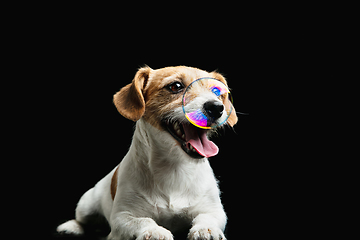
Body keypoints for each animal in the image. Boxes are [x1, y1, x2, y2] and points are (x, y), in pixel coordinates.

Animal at [57, 65, 236, 240]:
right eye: (175, 86)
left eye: (216, 92)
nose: (216, 107)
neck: (174, 168)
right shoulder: (122, 217)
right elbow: (143, 220)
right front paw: (154, 231)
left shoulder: (214, 210)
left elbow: (206, 217)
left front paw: (206, 229)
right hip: (86, 204)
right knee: (82, 219)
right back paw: (71, 226)